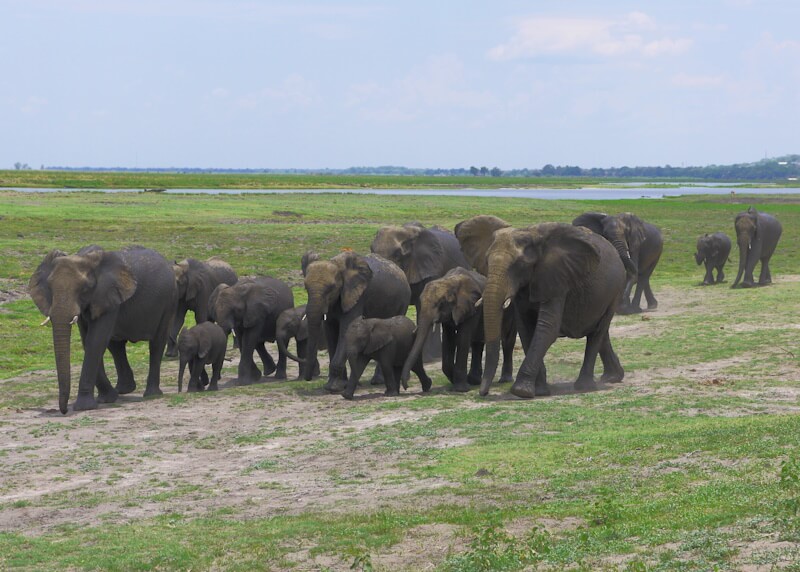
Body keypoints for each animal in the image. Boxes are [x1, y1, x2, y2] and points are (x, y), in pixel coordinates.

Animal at [29, 245, 177, 413]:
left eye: (85, 288)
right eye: (50, 287)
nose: (64, 410)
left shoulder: (107, 294)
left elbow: (96, 340)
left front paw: (84, 407)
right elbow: (88, 340)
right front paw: (107, 399)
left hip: (169, 301)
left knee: (157, 343)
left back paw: (152, 395)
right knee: (116, 346)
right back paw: (124, 390)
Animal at [303, 251, 411, 393]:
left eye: (331, 288)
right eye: (305, 288)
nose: (308, 379)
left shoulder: (357, 297)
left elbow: (346, 331)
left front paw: (334, 388)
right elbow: (330, 332)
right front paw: (335, 385)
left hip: (403, 301)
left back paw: (378, 382)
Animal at [456, 217, 626, 398]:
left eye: (519, 265)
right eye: (487, 261)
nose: (483, 393)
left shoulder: (557, 279)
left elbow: (547, 328)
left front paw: (521, 391)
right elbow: (525, 329)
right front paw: (540, 391)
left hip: (615, 291)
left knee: (597, 333)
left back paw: (584, 387)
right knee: (600, 332)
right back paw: (612, 377)